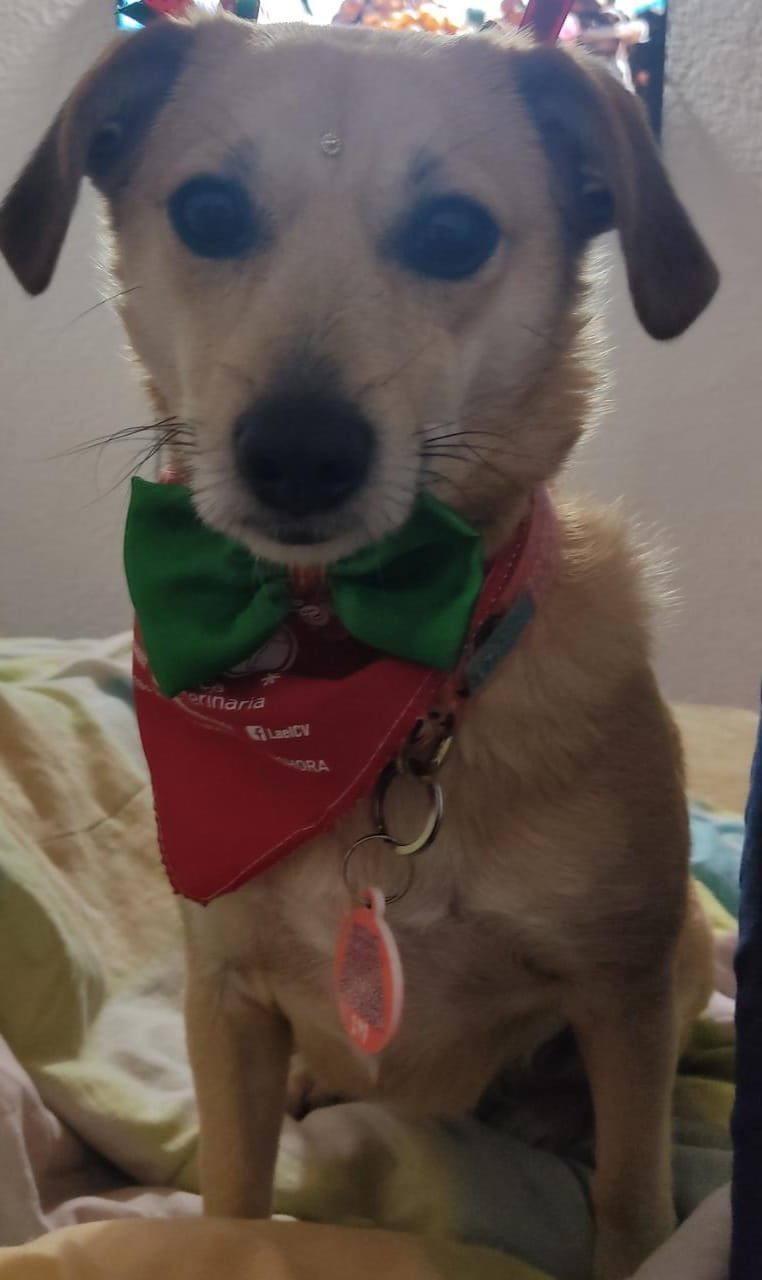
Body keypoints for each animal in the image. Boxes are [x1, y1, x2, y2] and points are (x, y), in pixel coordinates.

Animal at [0, 14, 718, 1279]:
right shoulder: (225, 999)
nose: (298, 452)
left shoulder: (624, 983)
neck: (350, 655)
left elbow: (634, 1207)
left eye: (453, 232)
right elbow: (233, 1200)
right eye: (209, 211)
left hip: (689, 949)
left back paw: (549, 1111)